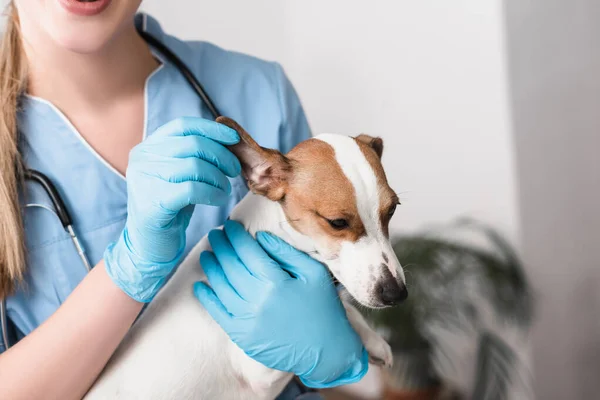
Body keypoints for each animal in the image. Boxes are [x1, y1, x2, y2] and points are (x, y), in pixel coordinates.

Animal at [85, 116, 408, 400]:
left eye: (393, 209)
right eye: (337, 222)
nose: (397, 294)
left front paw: (374, 340)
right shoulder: (262, 369)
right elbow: (335, 316)